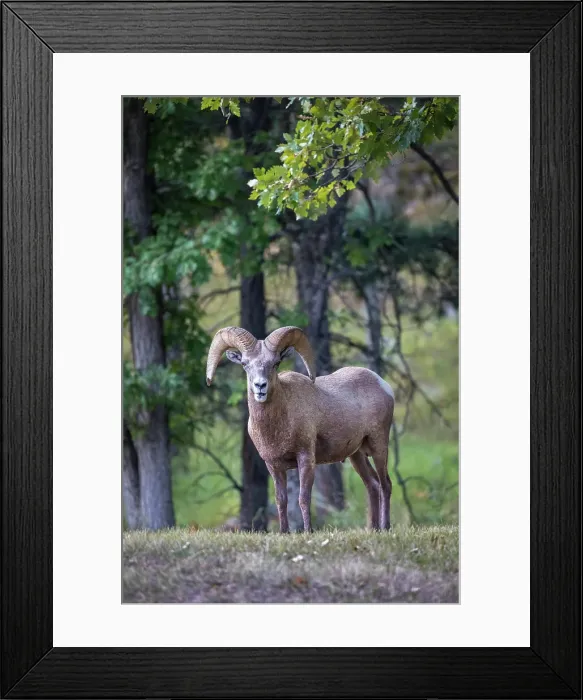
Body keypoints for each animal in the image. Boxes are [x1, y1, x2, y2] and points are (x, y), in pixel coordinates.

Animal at [206, 325, 395, 533]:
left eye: (275, 363)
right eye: (245, 364)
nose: (260, 386)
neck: (277, 426)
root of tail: (383, 385)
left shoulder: (305, 458)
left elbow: (303, 498)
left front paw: (307, 531)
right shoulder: (273, 466)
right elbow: (281, 500)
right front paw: (284, 532)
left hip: (379, 445)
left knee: (385, 484)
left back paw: (385, 527)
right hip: (357, 455)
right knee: (372, 485)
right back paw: (374, 529)